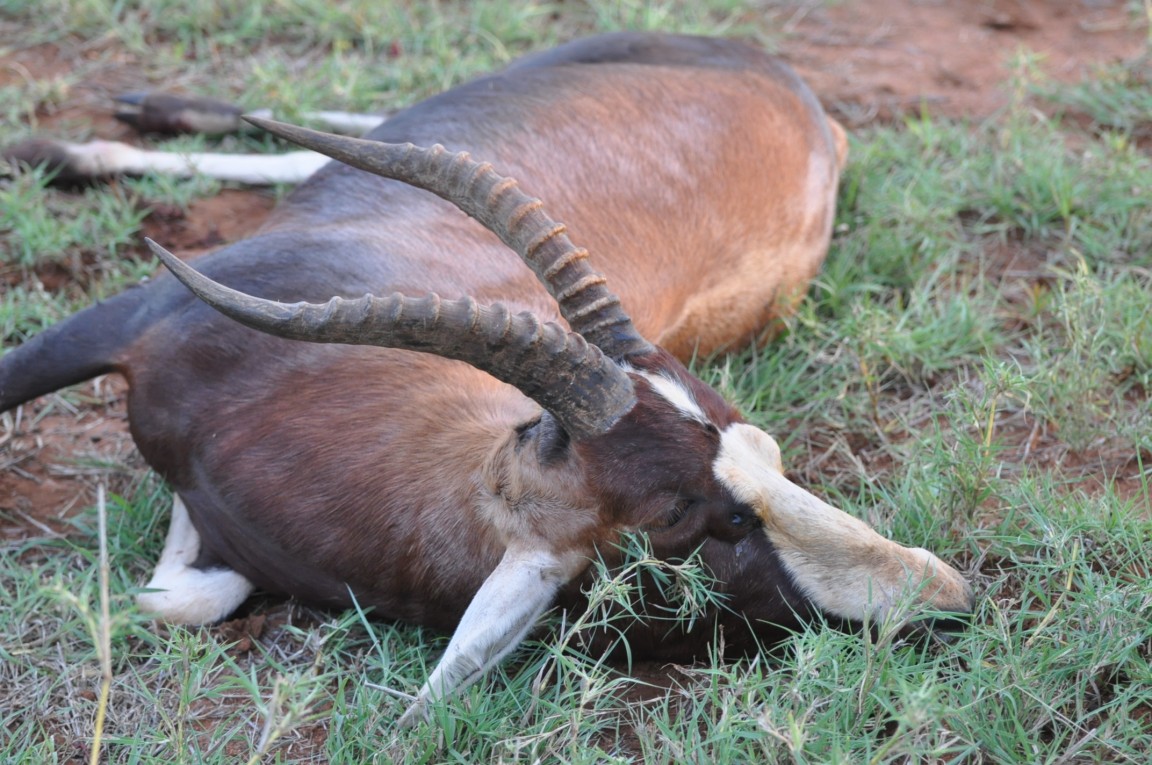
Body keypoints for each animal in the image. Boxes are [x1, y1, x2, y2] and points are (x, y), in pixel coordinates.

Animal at [0, 31, 972, 723]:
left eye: (767, 452)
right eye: (690, 521)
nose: (946, 596)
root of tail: (804, 104)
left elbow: (176, 597)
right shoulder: (120, 322)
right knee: (337, 138)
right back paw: (95, 130)